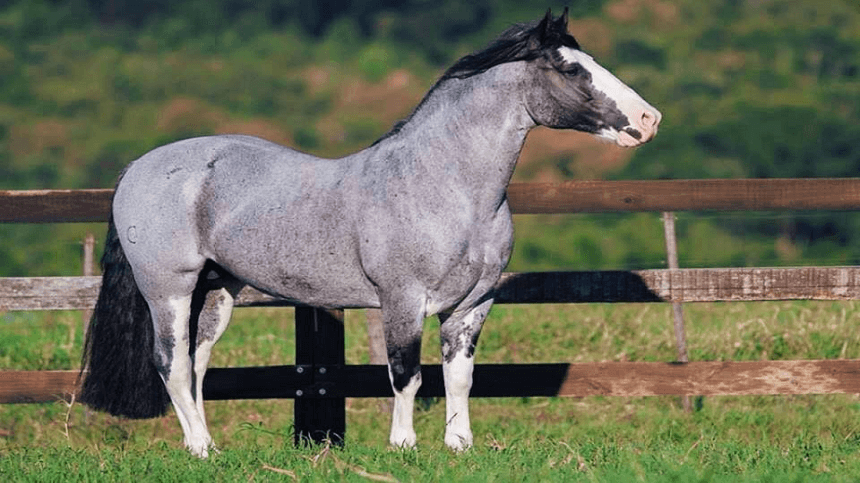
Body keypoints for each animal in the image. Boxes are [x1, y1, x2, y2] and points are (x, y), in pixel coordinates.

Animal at [79, 9, 660, 460]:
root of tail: (138, 168)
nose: (649, 119)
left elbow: (460, 376)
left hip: (218, 290)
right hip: (170, 289)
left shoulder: (473, 304)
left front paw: (459, 446)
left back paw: (205, 446)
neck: (444, 185)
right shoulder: (402, 299)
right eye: (570, 68)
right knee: (171, 364)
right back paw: (200, 448)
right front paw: (403, 446)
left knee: (197, 365)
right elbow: (406, 373)